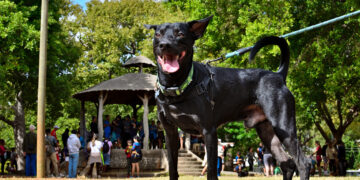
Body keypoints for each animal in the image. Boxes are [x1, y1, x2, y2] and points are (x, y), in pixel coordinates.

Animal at [145, 15, 310, 180]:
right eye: (157, 34)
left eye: (180, 34)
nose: (164, 45)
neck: (179, 86)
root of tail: (278, 75)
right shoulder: (170, 133)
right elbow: (173, 170)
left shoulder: (209, 132)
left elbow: (212, 171)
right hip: (267, 132)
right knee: (287, 163)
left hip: (284, 128)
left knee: (303, 163)